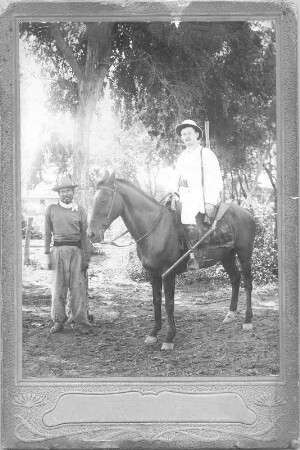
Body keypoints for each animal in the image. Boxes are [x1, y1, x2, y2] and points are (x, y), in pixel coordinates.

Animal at [88, 171, 256, 350]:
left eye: (105, 200)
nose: (91, 234)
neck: (155, 228)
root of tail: (248, 213)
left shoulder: (168, 272)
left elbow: (169, 304)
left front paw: (169, 337)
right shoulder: (152, 273)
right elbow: (156, 301)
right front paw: (153, 333)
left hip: (244, 254)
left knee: (247, 282)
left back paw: (247, 320)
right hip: (227, 256)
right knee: (235, 278)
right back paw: (230, 314)